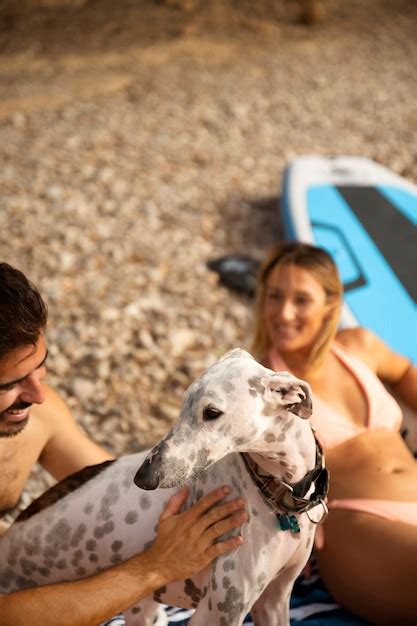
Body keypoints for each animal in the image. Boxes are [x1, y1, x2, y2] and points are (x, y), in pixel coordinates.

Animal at [0, 348, 326, 620]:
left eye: (212, 412)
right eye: (182, 404)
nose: (143, 478)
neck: (278, 493)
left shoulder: (274, 599)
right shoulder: (219, 611)